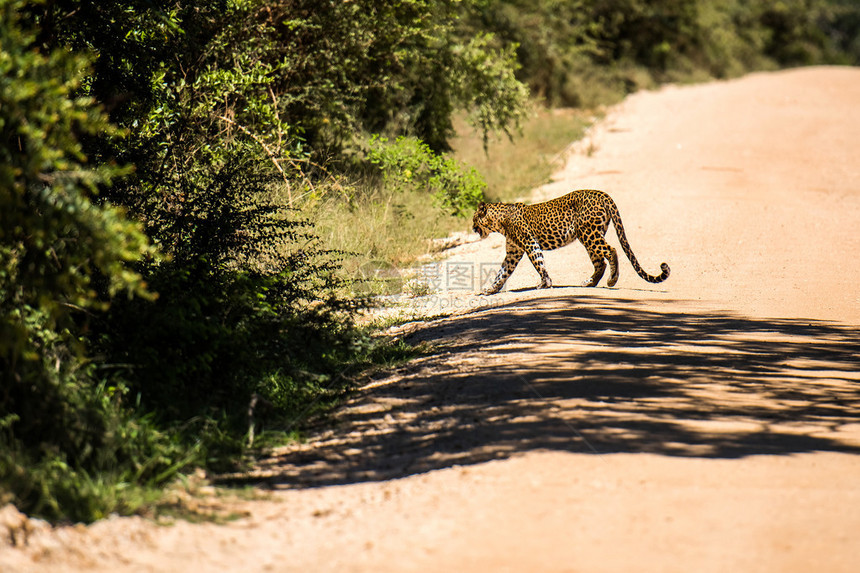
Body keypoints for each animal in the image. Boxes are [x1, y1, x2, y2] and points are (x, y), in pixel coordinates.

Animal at [474, 189, 668, 294]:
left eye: (475, 219)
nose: (473, 228)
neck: (499, 221)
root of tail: (603, 194)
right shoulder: (514, 251)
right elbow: (503, 271)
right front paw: (491, 289)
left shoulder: (529, 243)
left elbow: (538, 263)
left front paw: (545, 283)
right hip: (590, 236)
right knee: (600, 262)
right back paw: (590, 283)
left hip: (589, 234)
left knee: (611, 250)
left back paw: (612, 280)